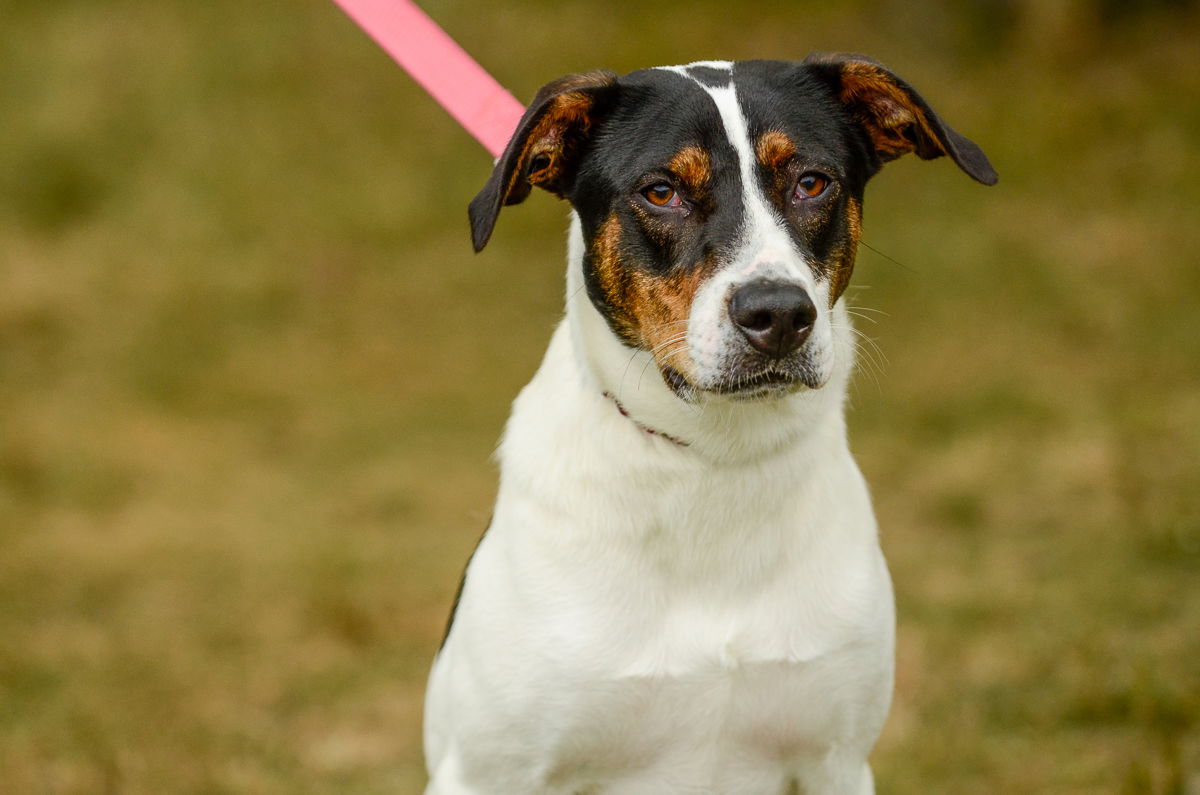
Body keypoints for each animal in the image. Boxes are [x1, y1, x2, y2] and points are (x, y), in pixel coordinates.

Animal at [422, 56, 993, 795]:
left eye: (812, 182)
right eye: (661, 191)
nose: (779, 314)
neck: (715, 466)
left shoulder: (837, 759)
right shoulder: (489, 770)